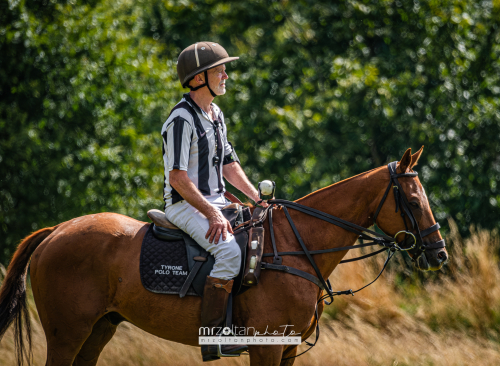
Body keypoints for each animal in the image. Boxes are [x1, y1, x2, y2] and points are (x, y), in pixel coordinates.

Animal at [0, 147, 446, 364]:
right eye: (411, 199)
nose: (438, 253)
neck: (296, 249)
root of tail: (56, 231)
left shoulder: (286, 349)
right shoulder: (266, 346)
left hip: (98, 329)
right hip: (66, 333)